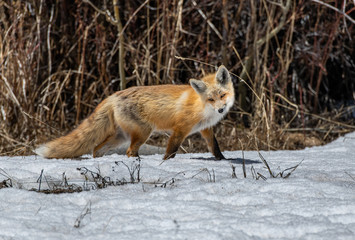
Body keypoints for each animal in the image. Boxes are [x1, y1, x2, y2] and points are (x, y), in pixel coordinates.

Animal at [34, 64, 235, 160]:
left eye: (222, 95)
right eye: (211, 99)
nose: (220, 109)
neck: (202, 107)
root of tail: (113, 95)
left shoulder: (206, 129)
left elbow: (214, 147)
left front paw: (222, 160)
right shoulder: (179, 130)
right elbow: (171, 151)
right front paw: (166, 163)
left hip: (120, 137)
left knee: (97, 149)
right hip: (143, 133)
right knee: (129, 151)